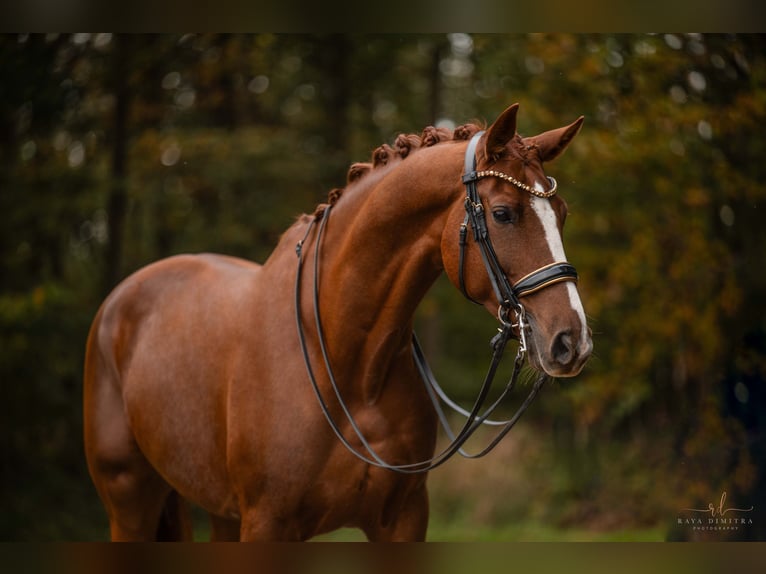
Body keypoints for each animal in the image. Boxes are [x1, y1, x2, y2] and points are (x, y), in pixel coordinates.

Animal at [84, 104, 592, 544]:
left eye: (562, 213)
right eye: (504, 214)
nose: (572, 341)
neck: (348, 363)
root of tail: (119, 300)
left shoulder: (403, 520)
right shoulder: (267, 524)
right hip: (129, 503)